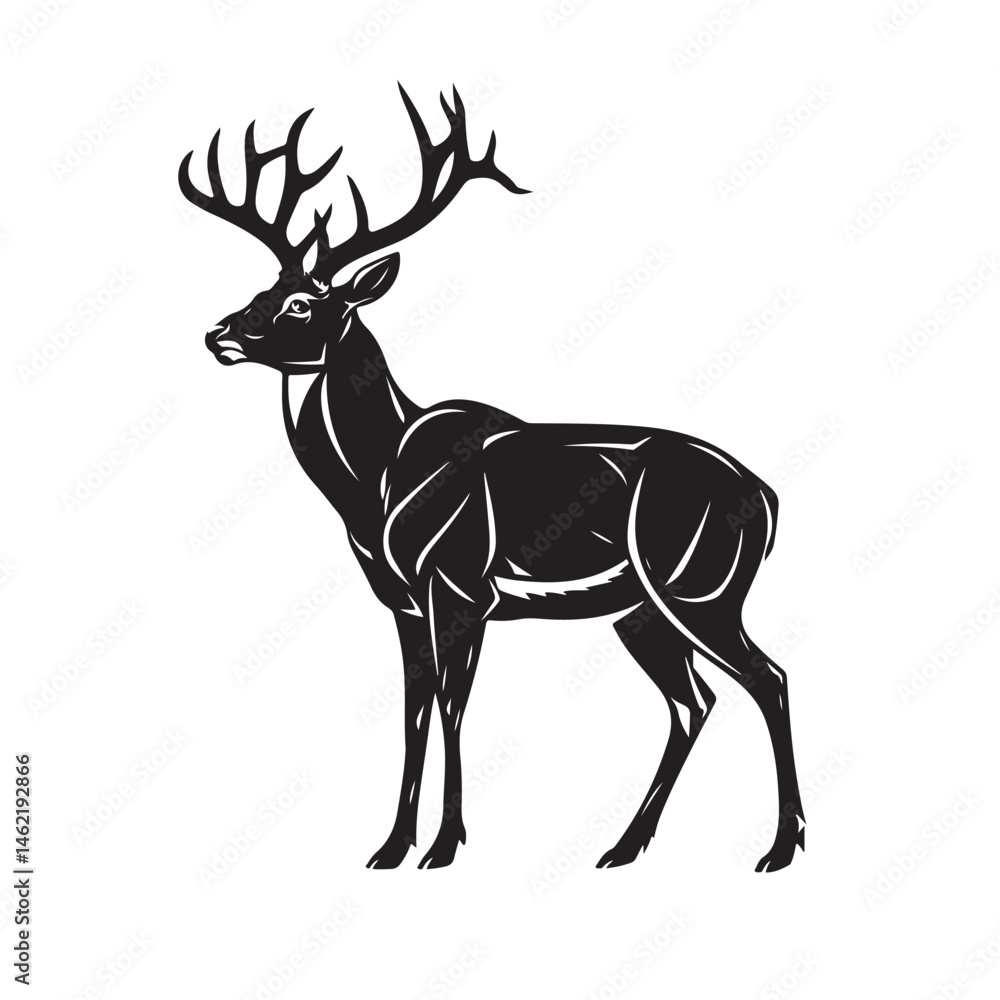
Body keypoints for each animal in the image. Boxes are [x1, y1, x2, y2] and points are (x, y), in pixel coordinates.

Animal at [179, 85, 805, 872]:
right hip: (640, 611)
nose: (219, 334)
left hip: (700, 588)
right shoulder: (403, 601)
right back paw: (624, 846)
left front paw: (444, 846)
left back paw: (781, 847)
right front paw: (390, 847)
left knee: (768, 679)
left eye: (303, 303)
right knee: (694, 701)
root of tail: (768, 499)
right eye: (266, 287)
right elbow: (413, 709)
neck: (376, 481)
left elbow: (452, 706)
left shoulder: (461, 584)